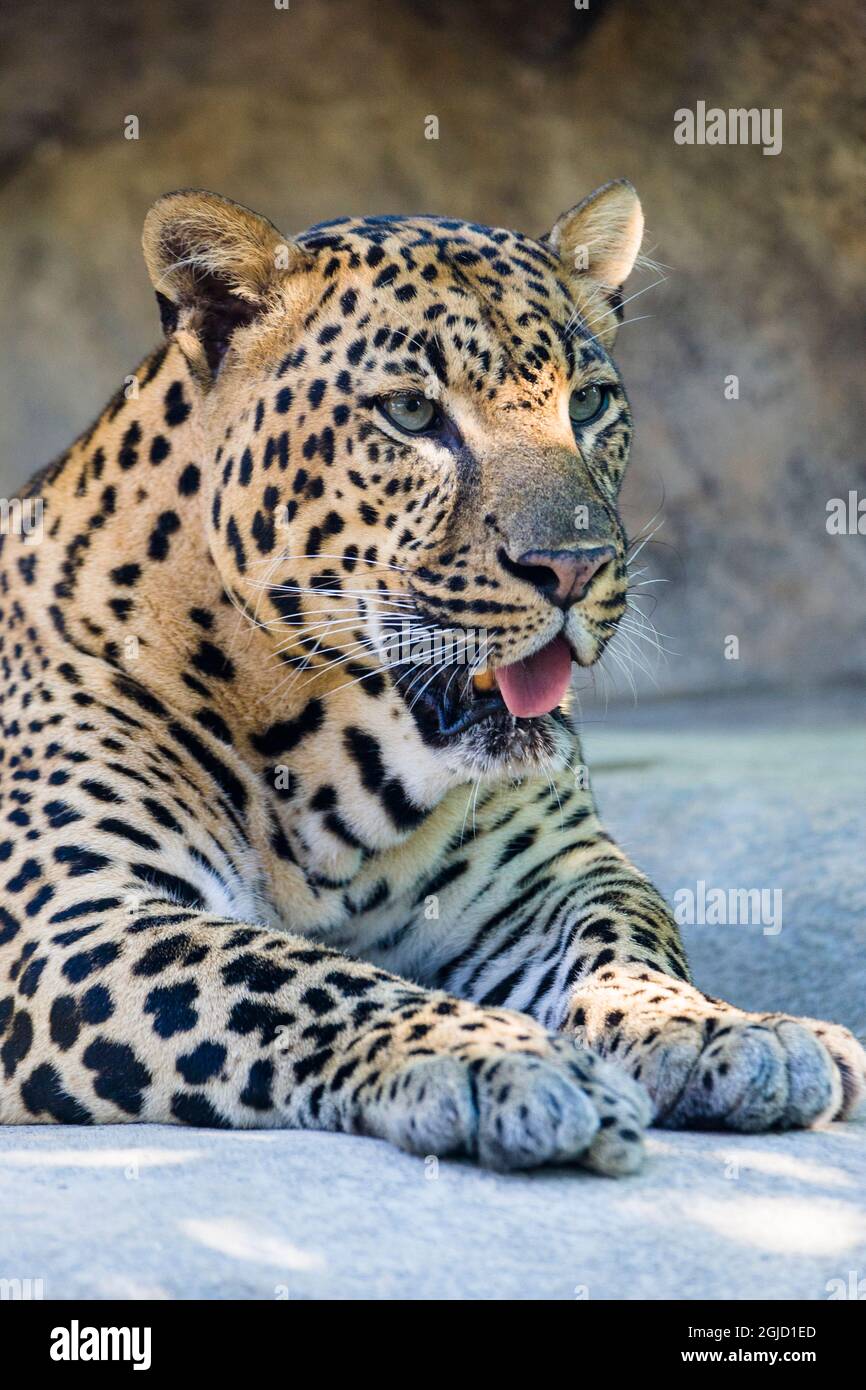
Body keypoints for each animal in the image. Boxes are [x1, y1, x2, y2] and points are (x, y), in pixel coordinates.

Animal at [0, 181, 862, 1175]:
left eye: (591, 402)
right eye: (411, 416)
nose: (574, 567)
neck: (323, 750)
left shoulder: (549, 877)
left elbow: (629, 941)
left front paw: (727, 1032)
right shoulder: (72, 922)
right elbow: (297, 977)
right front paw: (508, 1061)